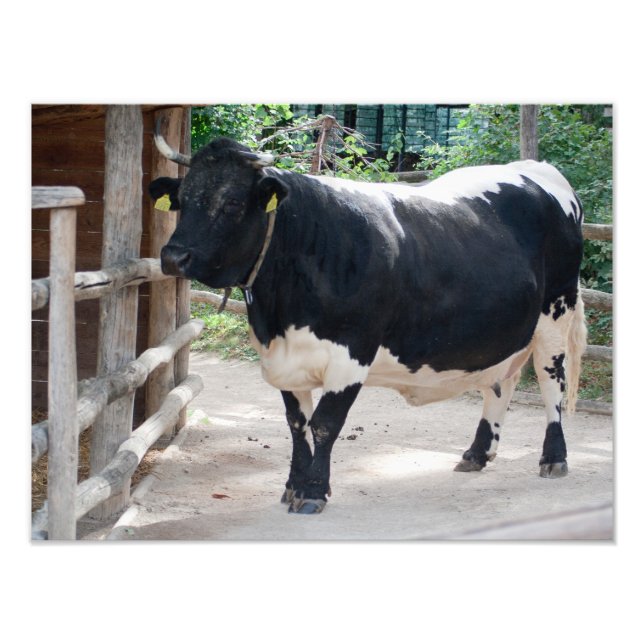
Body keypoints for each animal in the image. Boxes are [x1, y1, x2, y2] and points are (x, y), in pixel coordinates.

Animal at [149, 128, 587, 515]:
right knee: (502, 381)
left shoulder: (351, 353)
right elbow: (296, 423)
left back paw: (554, 457)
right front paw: (292, 486)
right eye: (182, 200)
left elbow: (325, 425)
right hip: (510, 329)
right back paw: (478, 452)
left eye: (232, 203)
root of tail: (537, 168)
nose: (173, 256)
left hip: (556, 310)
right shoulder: (286, 360)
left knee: (551, 381)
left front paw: (313, 492)